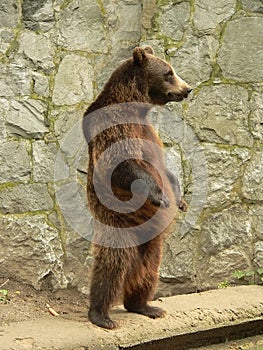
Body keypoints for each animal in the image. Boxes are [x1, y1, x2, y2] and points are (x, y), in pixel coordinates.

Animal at [83, 45, 192, 328]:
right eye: (169, 72)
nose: (187, 89)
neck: (135, 106)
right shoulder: (114, 124)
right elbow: (123, 163)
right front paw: (161, 196)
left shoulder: (150, 132)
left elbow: (164, 166)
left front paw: (181, 199)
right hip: (118, 223)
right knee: (113, 263)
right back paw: (101, 315)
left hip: (153, 241)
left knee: (149, 269)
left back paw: (146, 305)